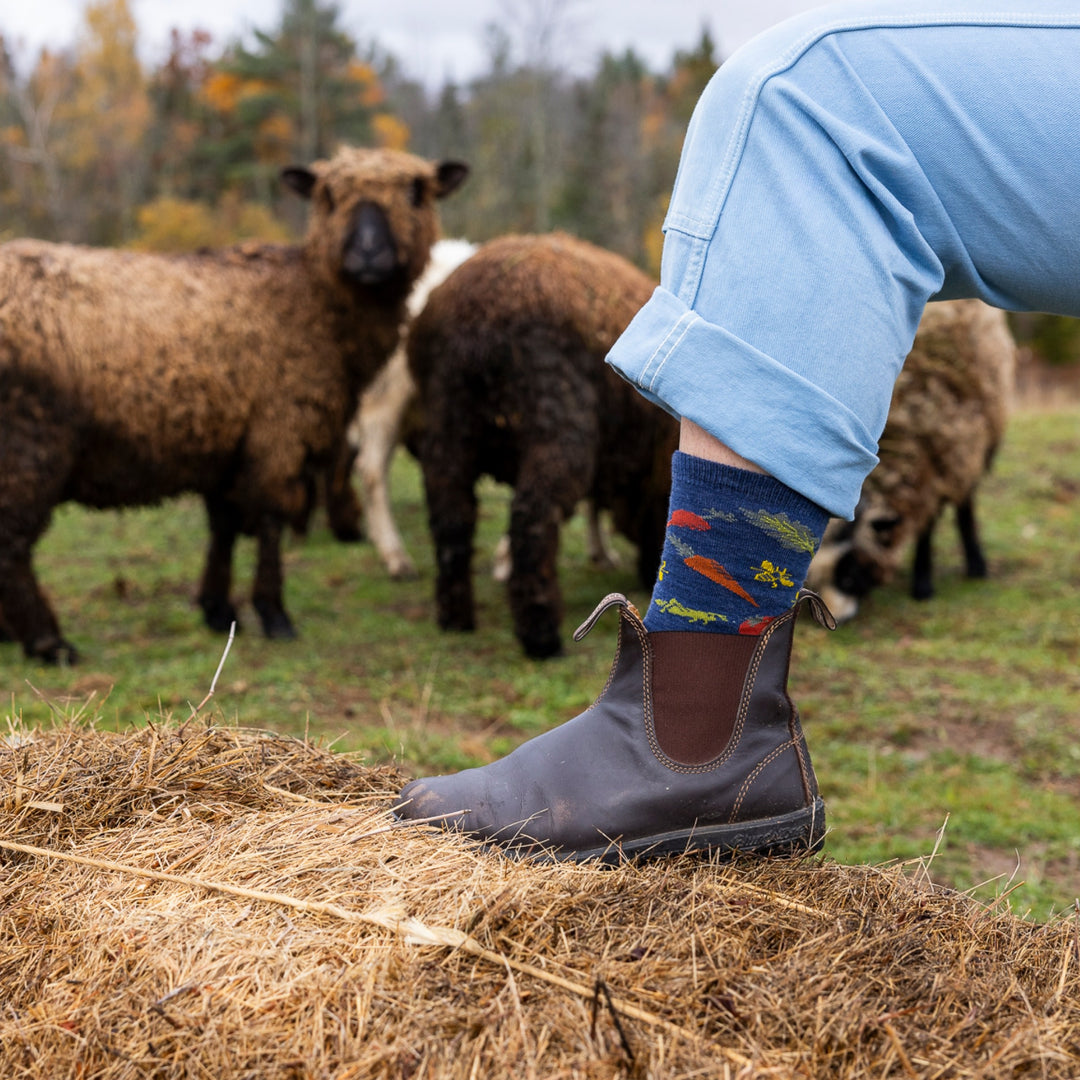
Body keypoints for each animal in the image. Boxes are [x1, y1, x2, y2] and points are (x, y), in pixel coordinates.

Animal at [0, 146, 468, 663]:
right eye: (328, 194)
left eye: (416, 191)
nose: (368, 255)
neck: (314, 296)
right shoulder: (279, 428)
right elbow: (269, 521)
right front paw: (274, 613)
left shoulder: (225, 442)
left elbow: (222, 527)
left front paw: (218, 609)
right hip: (29, 440)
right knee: (11, 539)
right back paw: (48, 642)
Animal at [407, 231, 679, 659]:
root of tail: (476, 321)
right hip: (557, 425)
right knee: (531, 518)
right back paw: (541, 634)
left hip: (448, 425)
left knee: (450, 515)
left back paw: (455, 618)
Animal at [805, 299, 1016, 623]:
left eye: (848, 575)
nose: (830, 622)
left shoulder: (941, 457)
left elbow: (933, 524)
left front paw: (924, 584)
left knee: (965, 503)